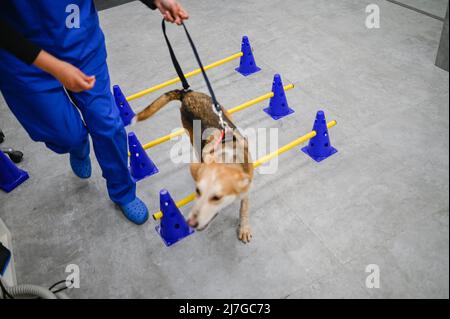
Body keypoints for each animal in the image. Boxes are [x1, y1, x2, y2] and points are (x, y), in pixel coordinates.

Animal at [133, 89, 253, 242]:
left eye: (216, 198)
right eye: (198, 192)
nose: (190, 223)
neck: (225, 157)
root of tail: (187, 93)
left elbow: (244, 208)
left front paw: (244, 228)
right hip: (191, 134)